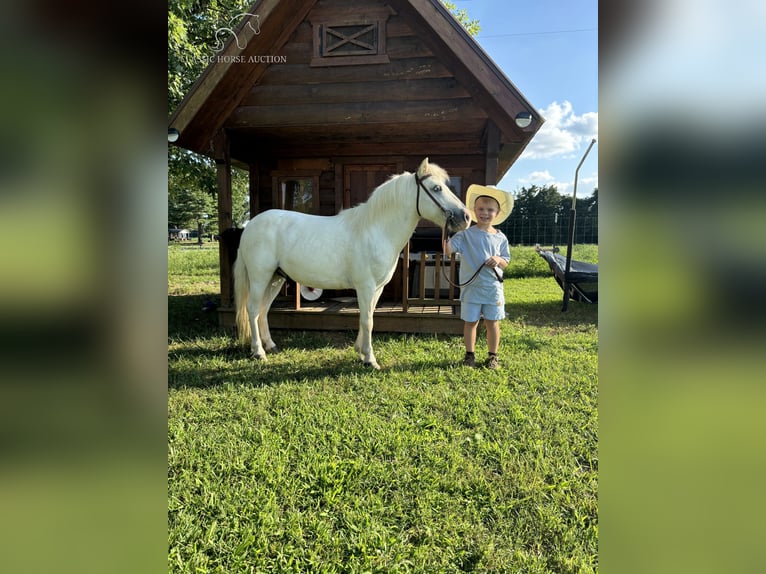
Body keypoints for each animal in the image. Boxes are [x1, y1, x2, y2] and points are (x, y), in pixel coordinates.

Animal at [231, 159, 472, 368]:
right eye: (436, 188)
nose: (466, 217)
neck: (376, 229)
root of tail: (251, 225)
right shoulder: (365, 286)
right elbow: (367, 320)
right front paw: (370, 360)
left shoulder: (377, 288)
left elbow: (369, 317)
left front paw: (361, 351)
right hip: (260, 277)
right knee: (252, 309)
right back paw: (258, 352)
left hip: (275, 279)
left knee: (263, 310)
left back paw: (270, 346)